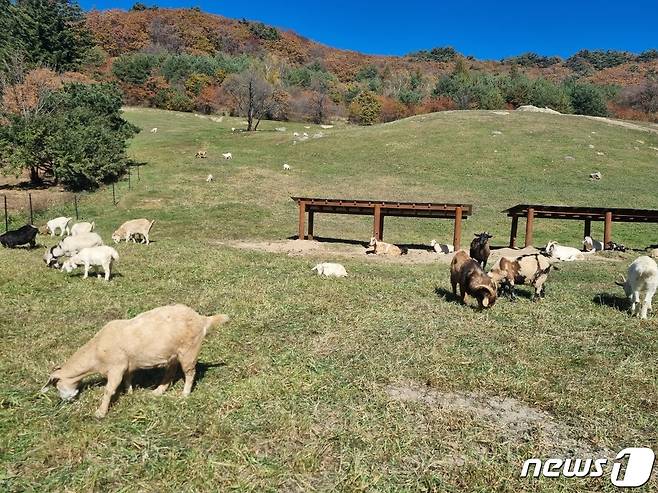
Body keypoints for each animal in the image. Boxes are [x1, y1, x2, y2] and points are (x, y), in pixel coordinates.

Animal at [40, 304, 231, 416]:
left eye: (57, 385)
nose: (66, 401)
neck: (95, 354)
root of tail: (202, 319)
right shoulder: (127, 366)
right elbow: (128, 379)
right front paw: (130, 392)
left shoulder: (116, 368)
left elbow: (109, 390)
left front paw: (100, 412)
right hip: (173, 354)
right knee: (170, 373)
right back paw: (157, 391)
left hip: (189, 351)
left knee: (190, 373)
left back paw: (184, 394)